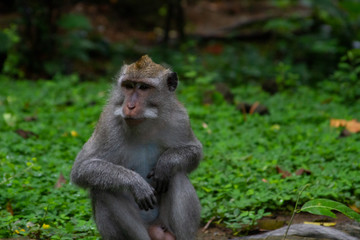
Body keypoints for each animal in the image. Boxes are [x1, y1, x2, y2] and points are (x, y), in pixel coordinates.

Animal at [70, 55, 202, 240]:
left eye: (144, 87)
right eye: (128, 86)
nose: (130, 106)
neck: (145, 125)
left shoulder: (180, 119)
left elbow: (194, 151)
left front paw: (166, 163)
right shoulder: (107, 124)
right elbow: (81, 169)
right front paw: (135, 183)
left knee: (176, 175)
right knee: (102, 189)